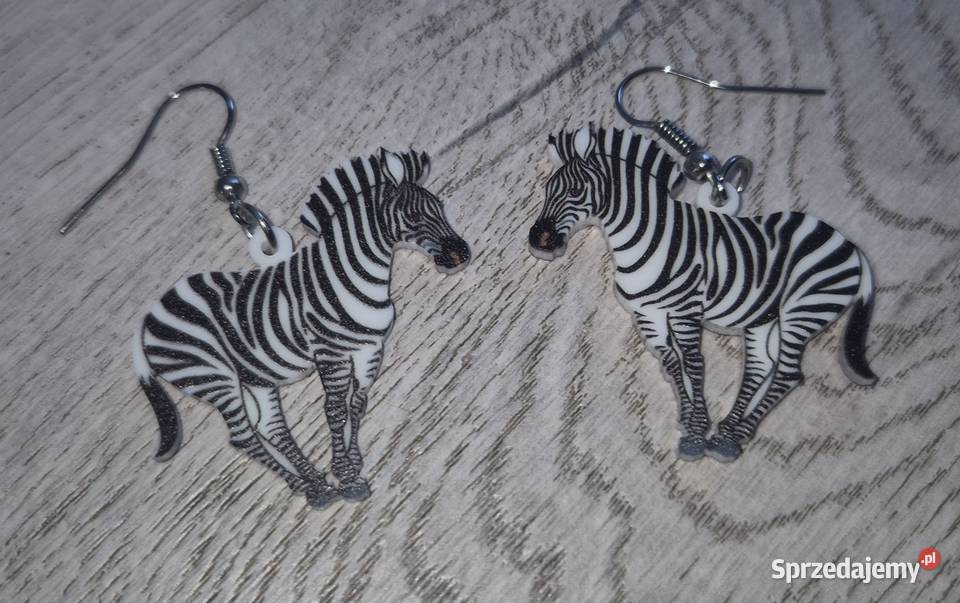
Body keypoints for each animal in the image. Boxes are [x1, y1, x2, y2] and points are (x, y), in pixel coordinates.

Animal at [133, 148, 471, 506]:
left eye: (441, 206)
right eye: (412, 216)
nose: (461, 255)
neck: (345, 274)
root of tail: (149, 318)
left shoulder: (369, 348)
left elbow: (357, 403)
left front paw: (352, 467)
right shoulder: (329, 353)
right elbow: (334, 409)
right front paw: (347, 478)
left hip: (252, 375)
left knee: (269, 426)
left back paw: (315, 485)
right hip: (211, 377)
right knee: (242, 437)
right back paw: (307, 486)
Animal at [528, 126, 877, 462]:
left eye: (575, 191)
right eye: (547, 188)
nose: (539, 239)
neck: (650, 234)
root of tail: (852, 247)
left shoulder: (686, 309)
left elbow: (694, 362)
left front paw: (696, 434)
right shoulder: (647, 313)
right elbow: (671, 362)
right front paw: (691, 419)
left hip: (804, 308)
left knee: (788, 374)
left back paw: (733, 437)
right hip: (765, 317)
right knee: (761, 365)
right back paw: (728, 433)